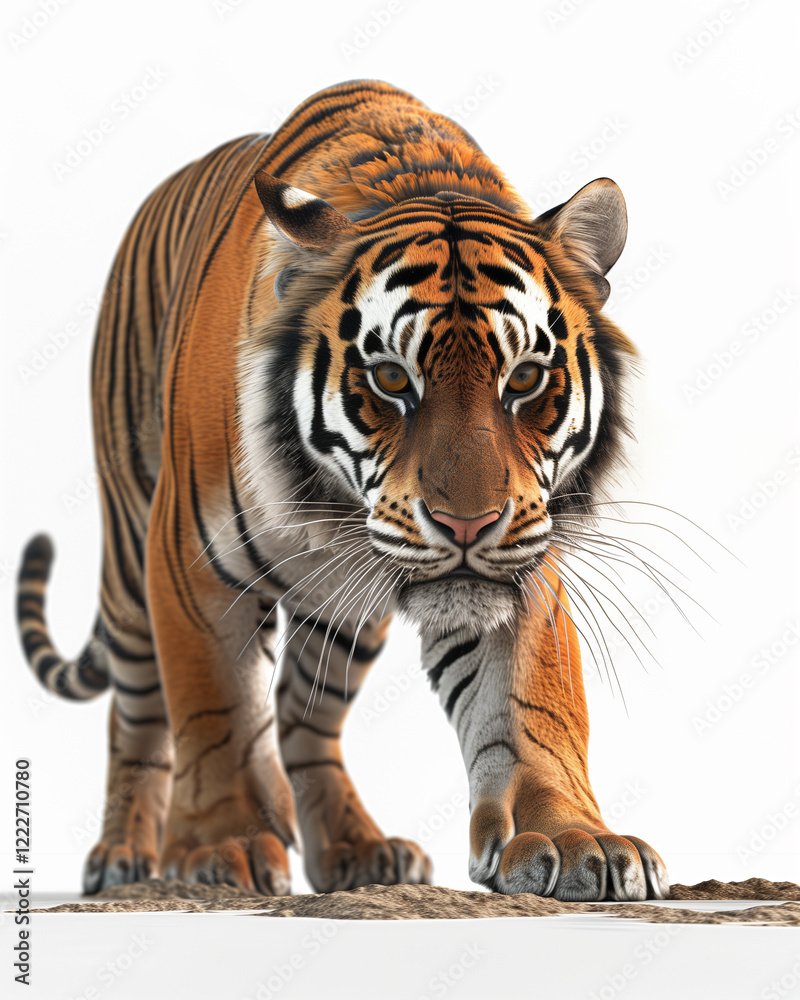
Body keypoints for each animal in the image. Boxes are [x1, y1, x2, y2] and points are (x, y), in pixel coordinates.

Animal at [16, 79, 668, 901]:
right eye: (390, 378)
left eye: (524, 379)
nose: (468, 524)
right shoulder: (189, 566)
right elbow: (215, 710)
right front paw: (223, 847)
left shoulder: (523, 556)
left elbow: (531, 705)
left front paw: (575, 838)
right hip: (134, 562)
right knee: (136, 714)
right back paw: (123, 857)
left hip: (343, 616)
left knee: (305, 720)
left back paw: (359, 850)